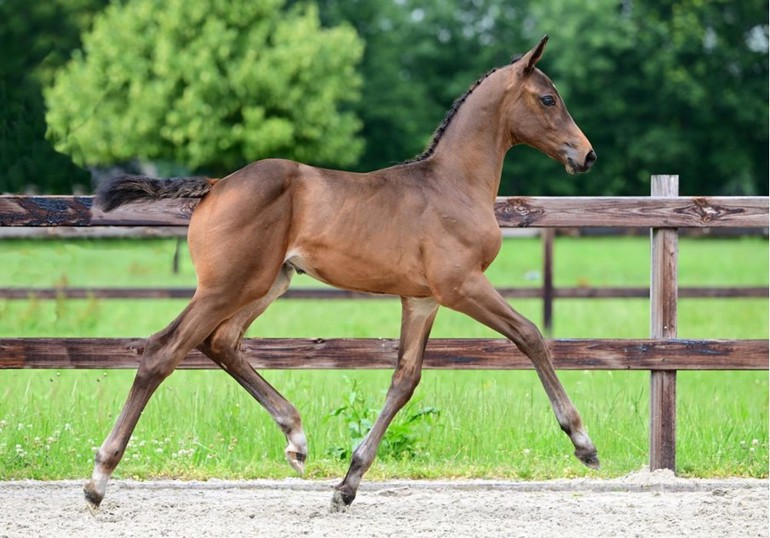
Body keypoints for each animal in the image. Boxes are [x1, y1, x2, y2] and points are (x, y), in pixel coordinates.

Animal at [85, 35, 600, 508]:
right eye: (548, 98)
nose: (587, 155)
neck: (452, 184)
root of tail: (214, 187)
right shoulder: (461, 286)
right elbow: (530, 334)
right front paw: (583, 443)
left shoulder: (422, 300)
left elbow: (405, 380)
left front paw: (347, 484)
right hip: (226, 286)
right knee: (162, 350)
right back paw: (98, 480)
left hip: (267, 283)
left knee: (222, 343)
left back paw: (296, 439)